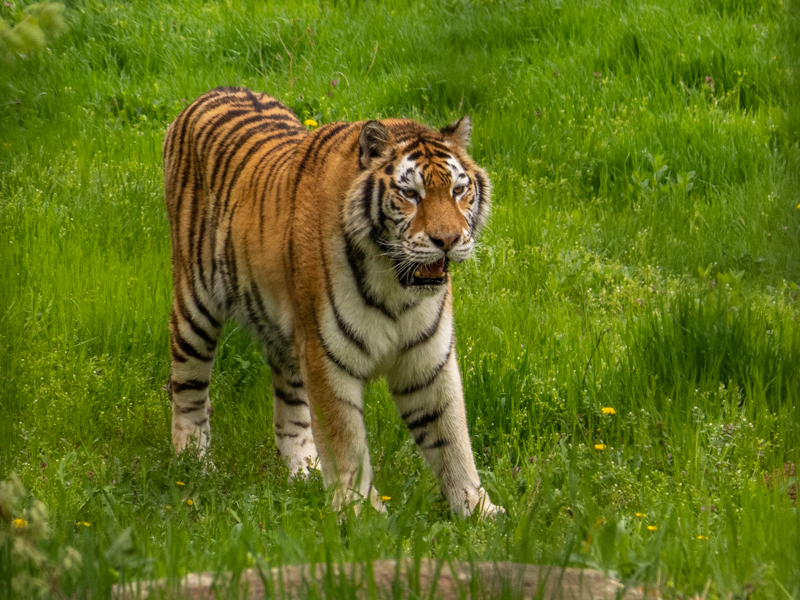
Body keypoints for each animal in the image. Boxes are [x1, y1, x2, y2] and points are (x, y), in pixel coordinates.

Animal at [163, 86, 501, 518]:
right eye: (411, 194)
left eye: (459, 190)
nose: (448, 239)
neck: (395, 285)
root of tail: (215, 91)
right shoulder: (328, 355)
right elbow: (346, 441)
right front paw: (361, 514)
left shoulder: (428, 360)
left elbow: (451, 439)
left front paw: (478, 510)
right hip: (196, 306)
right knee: (188, 386)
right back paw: (192, 464)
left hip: (287, 335)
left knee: (290, 404)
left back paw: (303, 470)